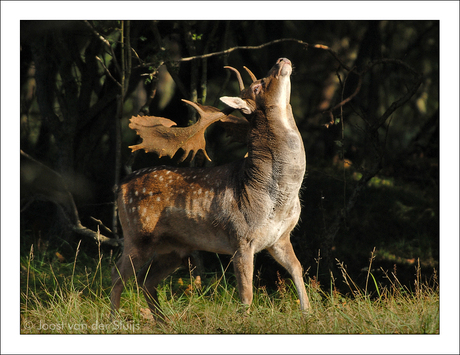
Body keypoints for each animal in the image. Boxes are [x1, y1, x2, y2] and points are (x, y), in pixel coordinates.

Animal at [112, 57, 312, 320]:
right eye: (257, 86)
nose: (281, 60)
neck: (276, 200)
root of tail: (120, 186)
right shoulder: (240, 237)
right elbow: (246, 294)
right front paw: (246, 322)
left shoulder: (280, 238)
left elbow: (298, 269)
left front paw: (309, 313)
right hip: (137, 235)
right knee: (117, 278)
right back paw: (114, 320)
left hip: (175, 249)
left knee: (147, 281)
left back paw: (165, 322)